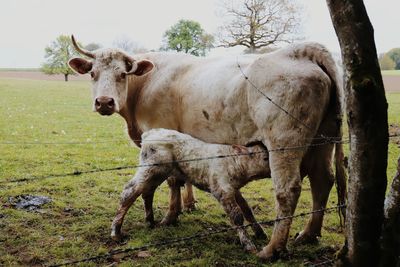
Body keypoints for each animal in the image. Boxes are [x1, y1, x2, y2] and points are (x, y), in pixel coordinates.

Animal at [111, 129, 270, 252]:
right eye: (265, 158)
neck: (233, 161)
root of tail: (151, 132)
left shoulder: (234, 189)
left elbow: (247, 209)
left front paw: (260, 232)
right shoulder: (221, 190)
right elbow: (237, 216)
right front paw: (248, 244)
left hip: (157, 173)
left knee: (147, 192)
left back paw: (150, 221)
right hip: (150, 169)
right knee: (129, 192)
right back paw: (116, 232)